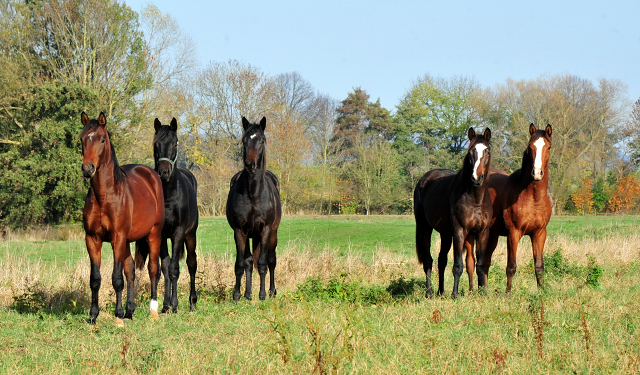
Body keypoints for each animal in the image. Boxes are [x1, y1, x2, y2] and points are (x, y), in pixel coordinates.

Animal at [78, 112, 165, 326]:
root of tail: (151, 174)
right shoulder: (92, 239)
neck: (105, 195)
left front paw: (117, 317)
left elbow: (117, 278)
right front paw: (93, 316)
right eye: (82, 139)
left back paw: (153, 310)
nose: (87, 169)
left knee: (153, 270)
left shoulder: (117, 237)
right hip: (126, 241)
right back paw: (129, 311)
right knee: (131, 270)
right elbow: (95, 279)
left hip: (154, 234)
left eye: (102, 139)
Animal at [228, 117, 282, 302]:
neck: (253, 194)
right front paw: (237, 295)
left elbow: (264, 263)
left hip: (272, 234)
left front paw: (263, 294)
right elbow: (241, 264)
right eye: (244, 140)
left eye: (261, 140)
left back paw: (272, 291)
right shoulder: (239, 231)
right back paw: (248, 293)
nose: (250, 165)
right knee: (249, 262)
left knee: (271, 261)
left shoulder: (265, 230)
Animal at [416, 128, 496, 298]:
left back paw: (440, 292)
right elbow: (458, 265)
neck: (475, 199)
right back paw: (429, 293)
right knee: (428, 260)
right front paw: (455, 295)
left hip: (446, 233)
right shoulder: (459, 231)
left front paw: (482, 293)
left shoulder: (482, 232)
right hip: (424, 228)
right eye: (470, 151)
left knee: (441, 260)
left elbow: (480, 264)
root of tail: (424, 179)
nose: (476, 178)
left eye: (487, 151)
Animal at [482, 125, 552, 292]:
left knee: (486, 262)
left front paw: (542, 292)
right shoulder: (514, 233)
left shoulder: (539, 234)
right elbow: (511, 267)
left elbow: (539, 267)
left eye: (548, 147)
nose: (537, 173)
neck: (533, 198)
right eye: (530, 146)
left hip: (493, 235)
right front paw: (507, 293)